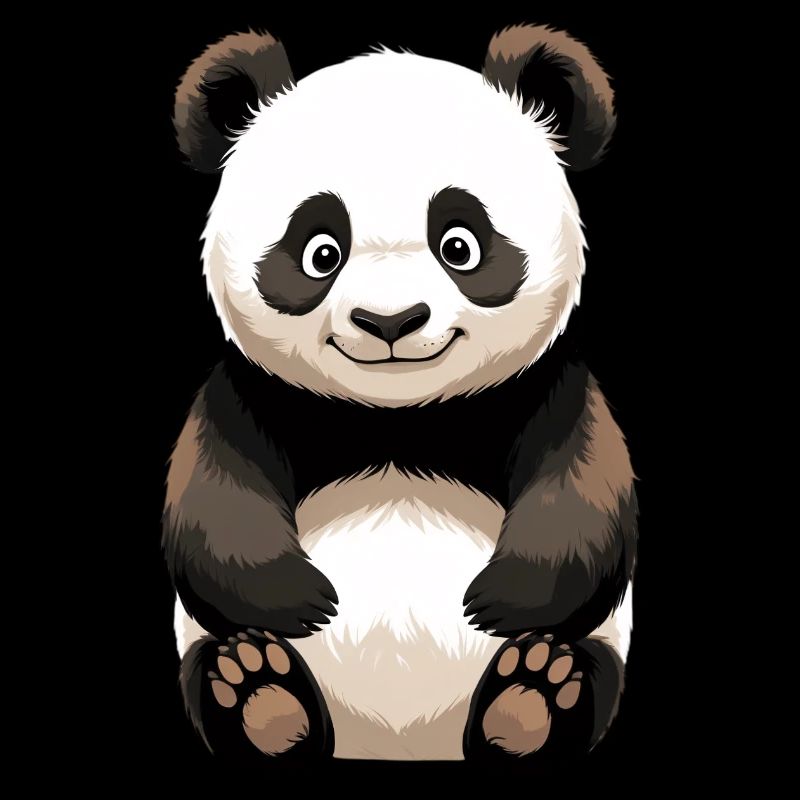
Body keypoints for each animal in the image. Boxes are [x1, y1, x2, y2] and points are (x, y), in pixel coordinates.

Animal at [165, 23, 637, 765]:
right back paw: (260, 695)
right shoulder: (250, 392)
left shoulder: (546, 386)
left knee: (583, 670)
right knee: (219, 666)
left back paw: (531, 697)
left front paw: (499, 599)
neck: (398, 419)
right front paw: (301, 599)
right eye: (320, 251)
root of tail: (402, 743)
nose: (389, 321)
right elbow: (213, 495)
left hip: (599, 648)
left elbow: (585, 486)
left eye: (461, 245)